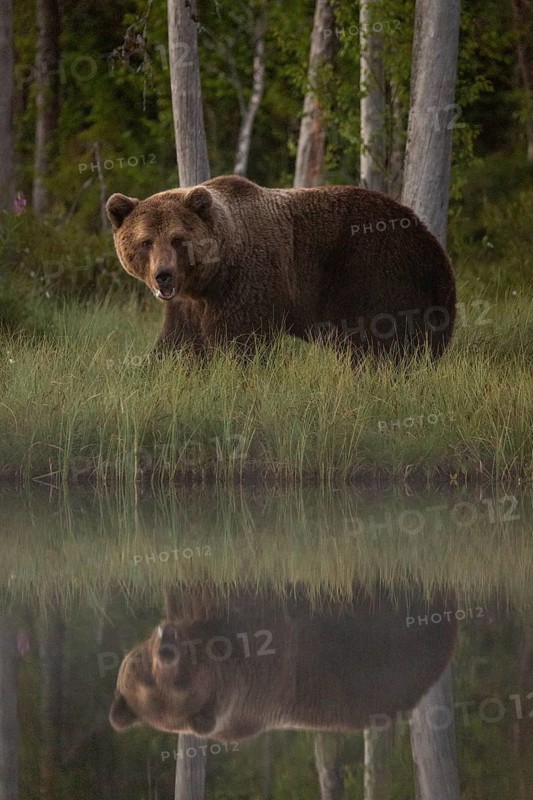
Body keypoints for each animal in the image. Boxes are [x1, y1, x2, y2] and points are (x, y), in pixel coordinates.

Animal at [106, 176, 456, 360]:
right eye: (146, 241)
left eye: (178, 239)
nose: (163, 275)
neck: (214, 275)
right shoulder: (188, 303)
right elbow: (177, 344)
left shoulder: (249, 284)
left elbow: (240, 343)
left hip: (372, 266)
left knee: (376, 335)